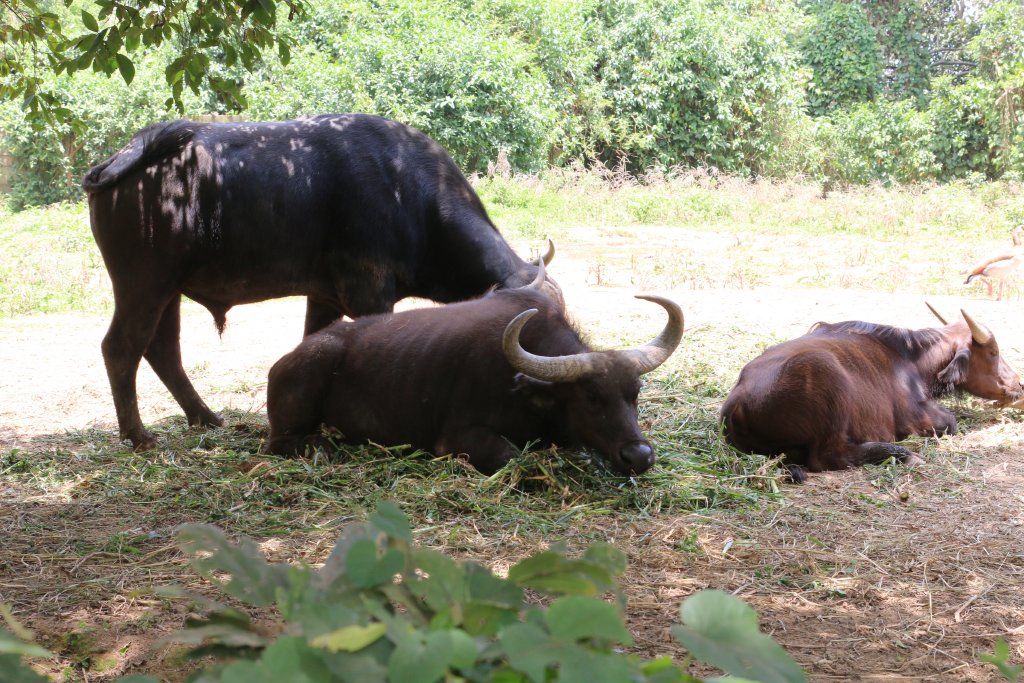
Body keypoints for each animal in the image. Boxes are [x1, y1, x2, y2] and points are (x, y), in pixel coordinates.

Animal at [82, 114, 555, 449]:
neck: (407, 191)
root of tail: (127, 157)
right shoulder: (370, 293)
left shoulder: (323, 297)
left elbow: (312, 341)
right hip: (142, 284)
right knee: (120, 348)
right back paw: (138, 435)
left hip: (169, 291)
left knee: (162, 350)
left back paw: (206, 418)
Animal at [263, 266, 684, 475]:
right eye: (592, 398)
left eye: (635, 394)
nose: (639, 456)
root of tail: (282, 363)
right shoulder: (458, 438)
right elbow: (512, 457)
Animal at [720, 306, 1023, 482]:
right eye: (993, 352)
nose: (1018, 385)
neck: (910, 359)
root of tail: (736, 408)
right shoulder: (917, 418)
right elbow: (951, 422)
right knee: (828, 458)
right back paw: (901, 454)